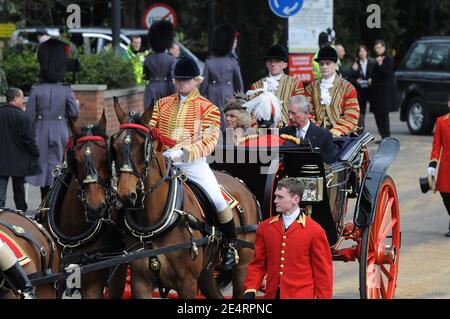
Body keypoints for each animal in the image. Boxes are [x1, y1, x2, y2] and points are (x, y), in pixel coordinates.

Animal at [111, 100, 260, 300]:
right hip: (206, 273)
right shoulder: (140, 283)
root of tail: (241, 183)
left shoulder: (187, 284)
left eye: (144, 146)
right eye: (115, 145)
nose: (125, 195)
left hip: (242, 266)